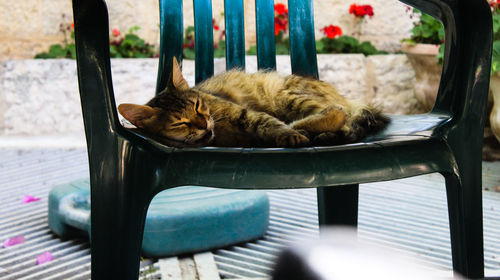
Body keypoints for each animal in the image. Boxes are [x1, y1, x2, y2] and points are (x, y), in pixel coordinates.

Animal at [118, 57, 390, 149]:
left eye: (197, 105)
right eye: (180, 123)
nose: (203, 123)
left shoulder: (244, 113)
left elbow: (270, 124)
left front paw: (288, 134)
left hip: (286, 97)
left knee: (339, 112)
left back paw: (305, 129)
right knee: (345, 121)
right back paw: (322, 135)